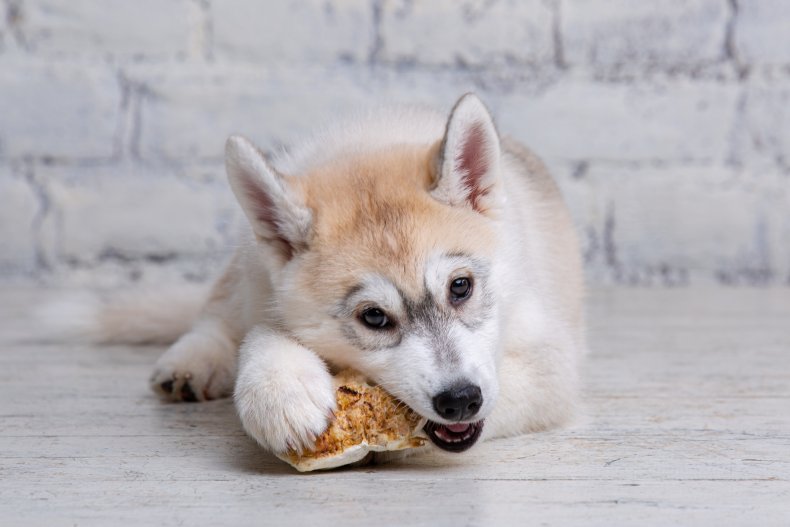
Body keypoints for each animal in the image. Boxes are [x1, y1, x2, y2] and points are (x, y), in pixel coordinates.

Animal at [57, 95, 588, 458]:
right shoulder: (266, 294)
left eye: (461, 287)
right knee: (217, 316)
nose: (459, 401)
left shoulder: (553, 361)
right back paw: (192, 361)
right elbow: (263, 331)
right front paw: (281, 391)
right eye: (374, 318)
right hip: (246, 264)